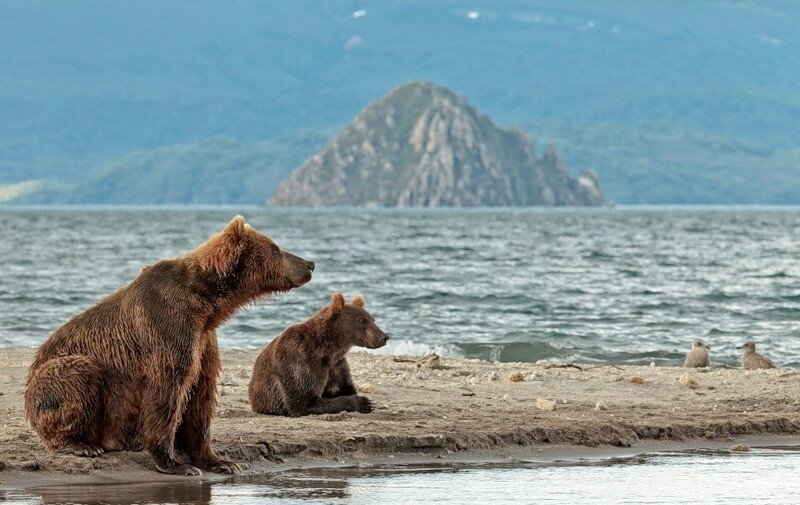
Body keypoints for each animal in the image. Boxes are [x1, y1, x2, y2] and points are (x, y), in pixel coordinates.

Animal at [24, 215, 315, 476]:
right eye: (275, 247)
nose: (310, 263)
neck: (206, 302)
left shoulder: (204, 339)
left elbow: (200, 395)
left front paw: (220, 461)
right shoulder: (167, 327)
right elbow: (168, 389)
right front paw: (176, 463)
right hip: (59, 375)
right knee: (75, 374)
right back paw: (79, 444)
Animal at [248, 292, 389, 416]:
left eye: (372, 319)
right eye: (361, 320)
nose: (384, 337)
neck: (327, 350)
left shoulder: (337, 365)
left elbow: (344, 387)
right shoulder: (299, 360)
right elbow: (304, 400)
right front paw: (365, 402)